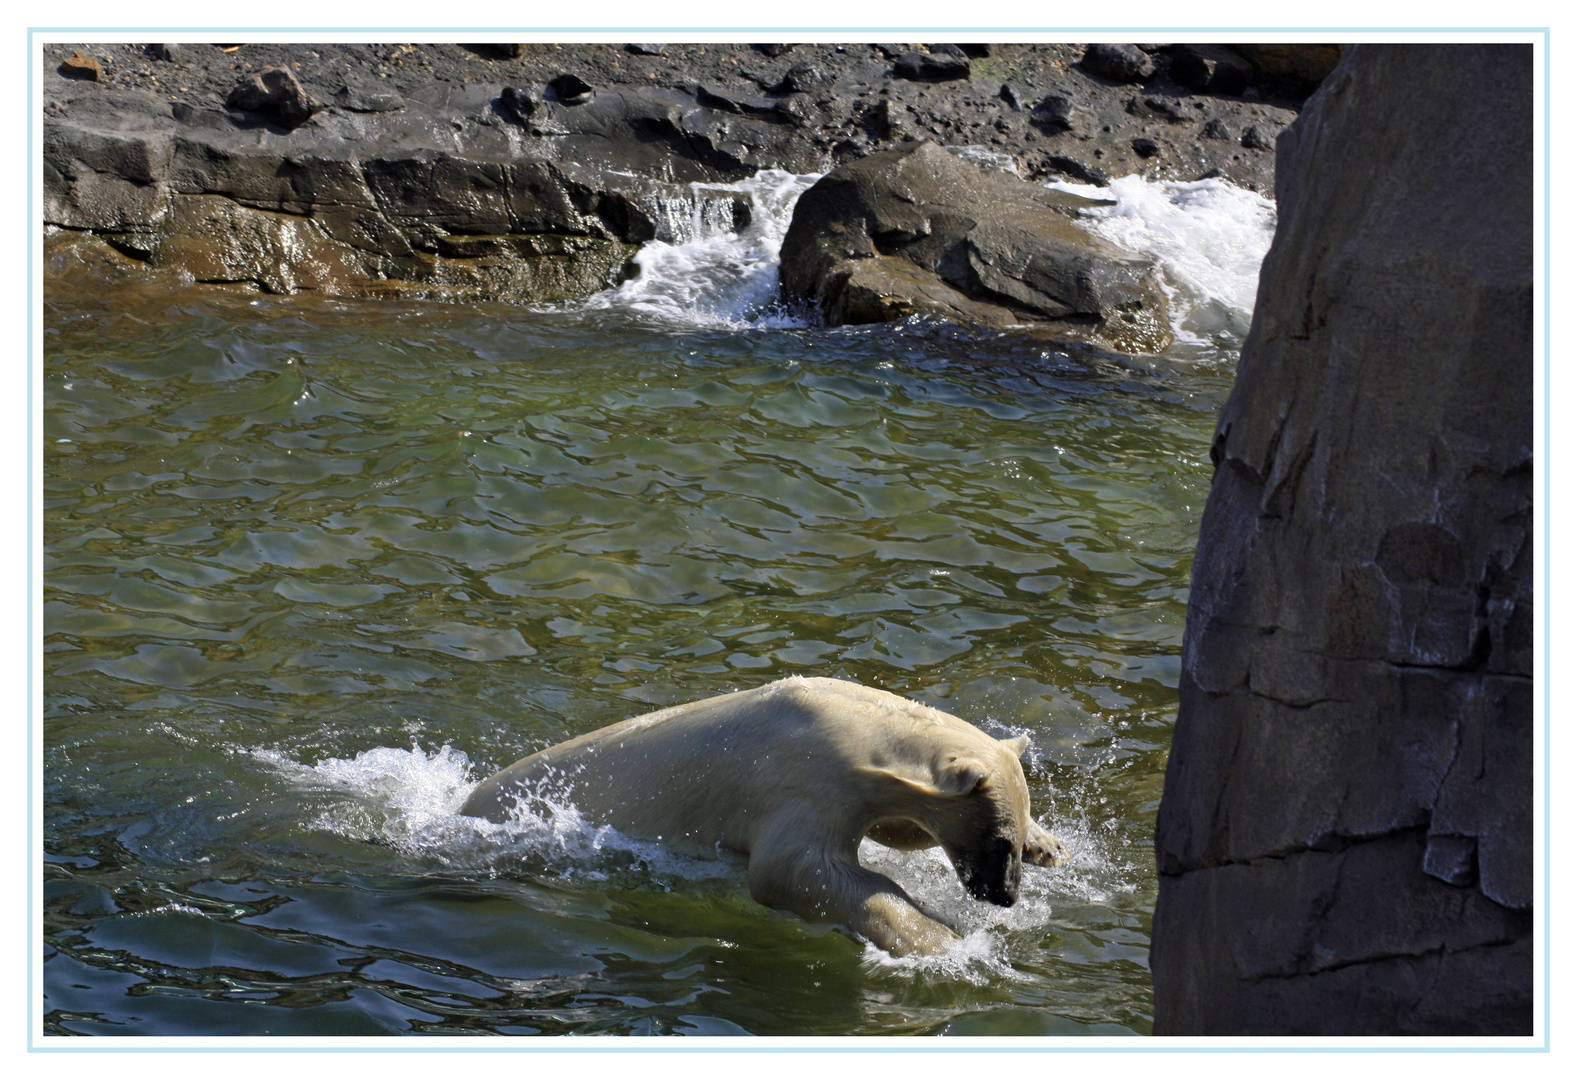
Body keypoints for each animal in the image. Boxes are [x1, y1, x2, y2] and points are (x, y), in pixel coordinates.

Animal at [460, 674, 1072, 952]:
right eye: (996, 840)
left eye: (1013, 837)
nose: (1004, 895)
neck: (854, 722)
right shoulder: (807, 781)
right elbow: (793, 872)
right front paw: (945, 941)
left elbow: (898, 828)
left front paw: (1053, 845)